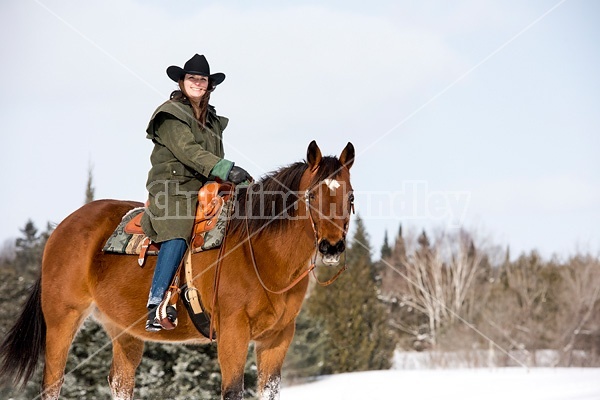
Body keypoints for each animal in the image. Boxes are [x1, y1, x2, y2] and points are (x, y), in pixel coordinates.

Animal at [0, 141, 354, 400]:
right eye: (312, 195)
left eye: (349, 196)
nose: (332, 247)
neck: (259, 251)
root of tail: (61, 228)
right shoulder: (233, 333)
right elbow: (232, 390)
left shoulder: (277, 339)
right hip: (63, 318)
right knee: (52, 384)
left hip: (122, 331)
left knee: (120, 384)